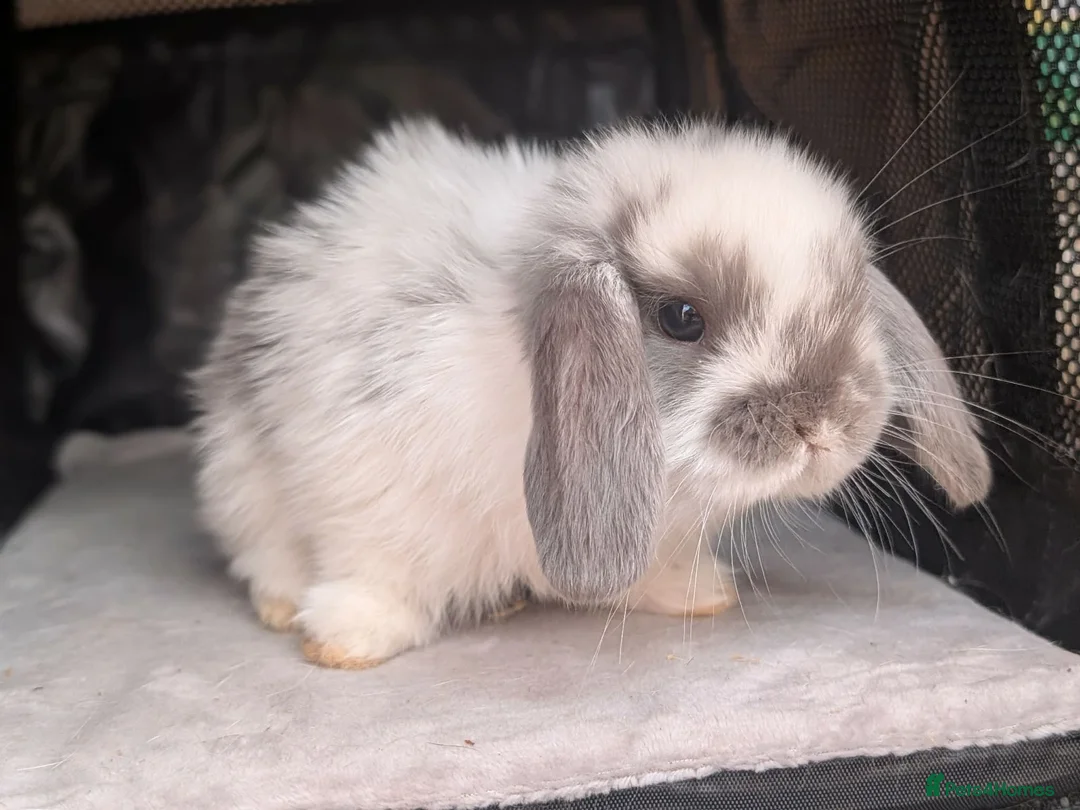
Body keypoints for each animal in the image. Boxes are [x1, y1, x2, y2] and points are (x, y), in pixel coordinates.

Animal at [189, 117, 992, 670]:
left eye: (851, 297)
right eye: (681, 317)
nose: (825, 423)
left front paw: (698, 593)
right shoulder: (372, 485)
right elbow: (379, 568)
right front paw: (347, 640)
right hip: (239, 475)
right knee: (263, 549)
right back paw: (284, 604)